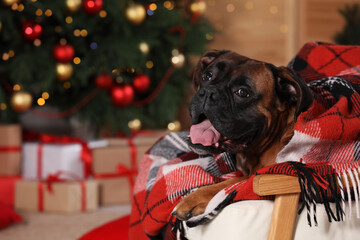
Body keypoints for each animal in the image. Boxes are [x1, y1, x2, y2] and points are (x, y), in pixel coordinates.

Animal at [172, 50, 312, 221]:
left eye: (243, 92)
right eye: (207, 76)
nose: (208, 92)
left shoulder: (261, 175)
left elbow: (234, 181)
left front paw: (194, 198)